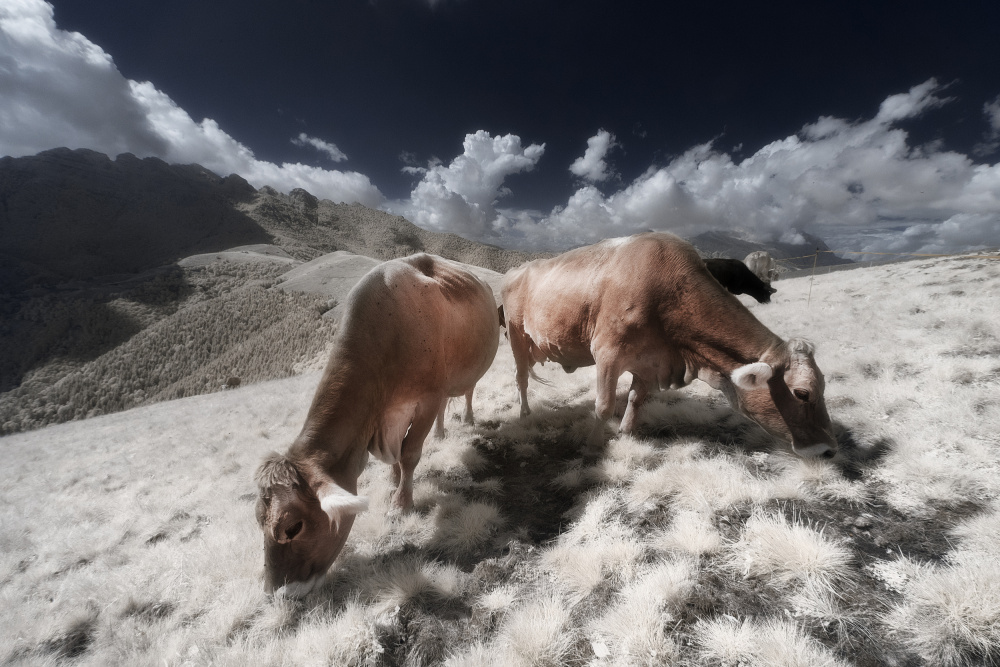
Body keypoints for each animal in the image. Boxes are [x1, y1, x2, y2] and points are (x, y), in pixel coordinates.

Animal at [252, 253, 498, 596]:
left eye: (293, 527)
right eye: (258, 520)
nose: (278, 594)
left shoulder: (427, 398)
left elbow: (409, 455)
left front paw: (401, 504)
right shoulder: (383, 420)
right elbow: (391, 458)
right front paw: (394, 484)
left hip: (466, 375)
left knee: (468, 392)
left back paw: (469, 419)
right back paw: (440, 433)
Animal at [500, 231, 836, 460]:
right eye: (802, 393)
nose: (830, 449)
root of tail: (517, 270)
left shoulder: (651, 362)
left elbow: (635, 399)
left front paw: (625, 433)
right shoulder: (607, 354)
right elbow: (603, 406)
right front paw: (593, 446)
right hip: (516, 336)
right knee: (520, 378)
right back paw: (525, 413)